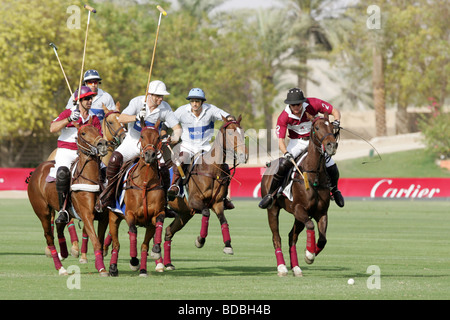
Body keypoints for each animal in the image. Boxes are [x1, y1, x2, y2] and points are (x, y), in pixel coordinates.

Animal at [27, 122, 110, 276]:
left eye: (97, 129)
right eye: (83, 133)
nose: (102, 144)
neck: (92, 180)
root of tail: (36, 170)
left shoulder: (103, 218)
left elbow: (100, 242)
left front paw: (100, 265)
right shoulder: (87, 215)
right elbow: (95, 241)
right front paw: (102, 268)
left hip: (61, 211)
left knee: (59, 227)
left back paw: (64, 253)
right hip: (43, 212)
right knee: (49, 237)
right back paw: (60, 268)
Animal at [107, 120, 167, 278]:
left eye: (158, 137)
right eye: (142, 136)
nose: (150, 155)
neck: (145, 183)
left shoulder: (156, 215)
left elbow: (159, 223)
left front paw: (156, 250)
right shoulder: (129, 214)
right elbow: (133, 231)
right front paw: (134, 261)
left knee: (144, 245)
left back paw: (143, 270)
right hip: (113, 217)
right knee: (116, 244)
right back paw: (113, 268)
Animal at [162, 115, 246, 270]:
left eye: (242, 132)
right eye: (230, 133)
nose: (243, 155)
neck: (211, 169)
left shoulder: (217, 203)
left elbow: (223, 220)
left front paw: (228, 246)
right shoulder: (195, 201)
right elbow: (206, 213)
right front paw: (200, 240)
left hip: (184, 215)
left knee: (169, 231)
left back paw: (166, 262)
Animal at [260, 113, 338, 278]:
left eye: (331, 126)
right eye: (317, 128)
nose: (331, 146)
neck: (314, 175)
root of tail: (270, 165)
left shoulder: (320, 212)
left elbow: (323, 239)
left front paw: (311, 253)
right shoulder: (298, 209)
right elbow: (311, 225)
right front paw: (309, 254)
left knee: (292, 237)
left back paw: (296, 267)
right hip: (273, 209)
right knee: (277, 237)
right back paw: (282, 268)